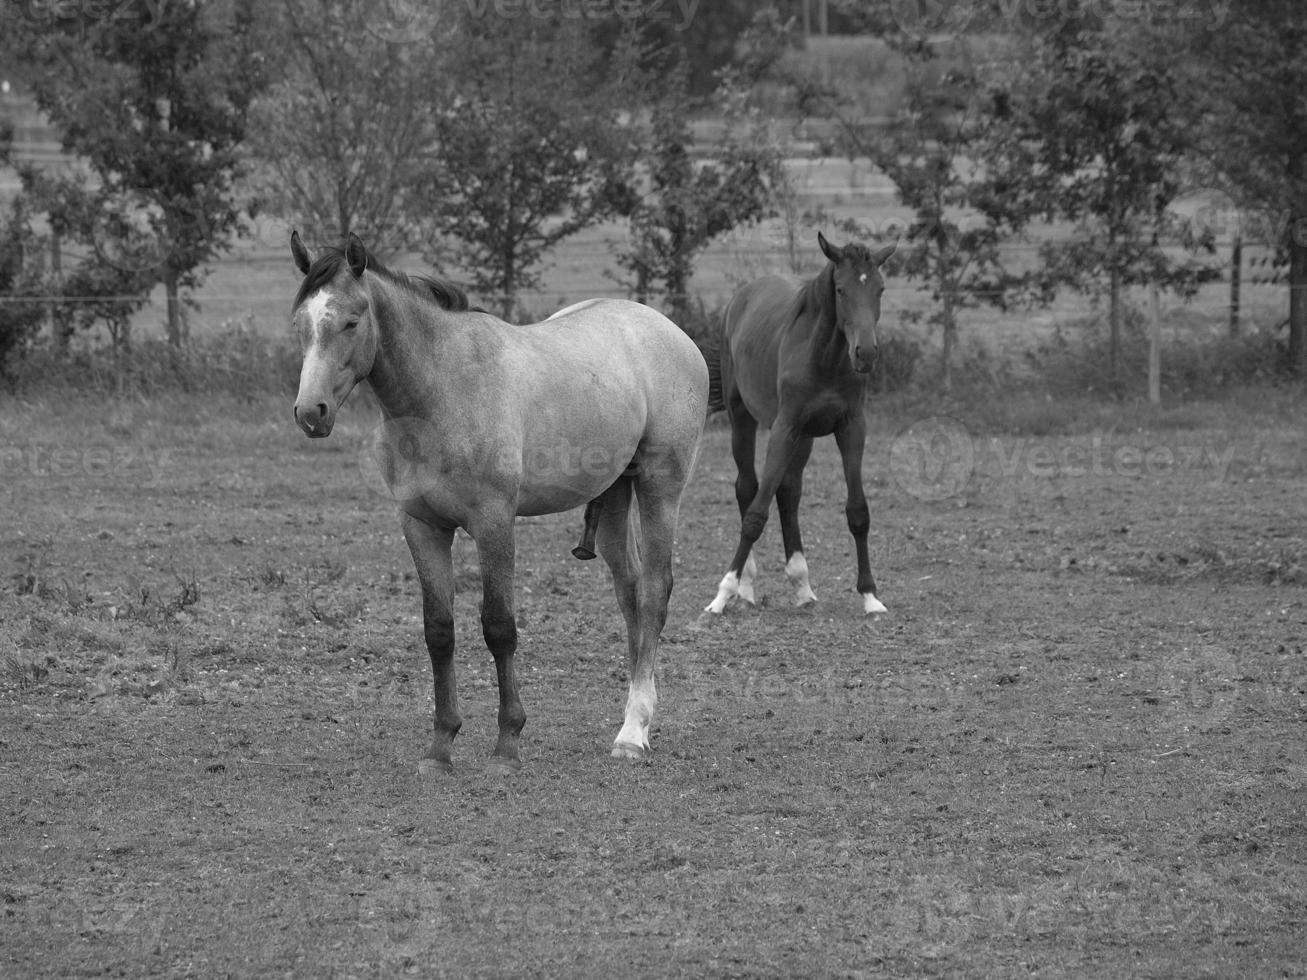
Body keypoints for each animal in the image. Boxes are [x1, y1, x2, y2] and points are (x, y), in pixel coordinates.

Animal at [292, 233, 711, 773]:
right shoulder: (422, 527)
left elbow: (499, 627)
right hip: (615, 496)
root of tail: (671, 332)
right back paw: (632, 720)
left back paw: (634, 733)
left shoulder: (493, 524)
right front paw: (440, 746)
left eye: (350, 320)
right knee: (631, 592)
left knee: (655, 591)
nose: (311, 412)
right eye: (301, 324)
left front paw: (507, 743)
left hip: (661, 487)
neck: (444, 390)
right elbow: (439, 631)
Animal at [705, 233, 899, 616]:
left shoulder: (851, 428)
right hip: (742, 419)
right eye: (840, 289)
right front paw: (722, 593)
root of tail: (741, 297)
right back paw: (746, 588)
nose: (866, 354)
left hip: (804, 437)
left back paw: (802, 585)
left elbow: (858, 511)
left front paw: (870, 596)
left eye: (881, 288)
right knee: (747, 487)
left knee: (789, 491)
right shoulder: (783, 427)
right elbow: (755, 513)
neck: (824, 358)